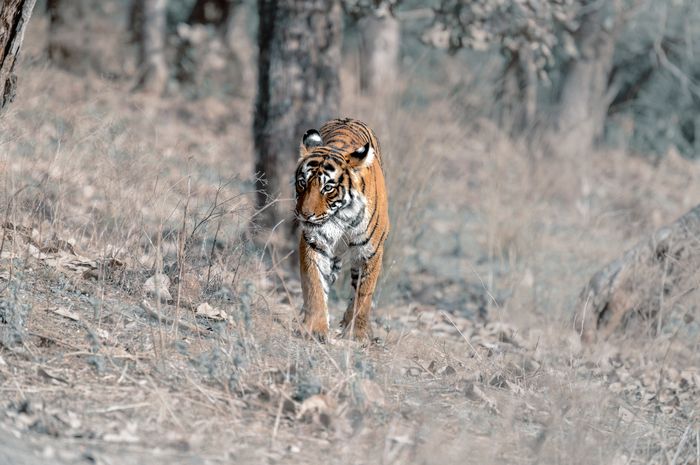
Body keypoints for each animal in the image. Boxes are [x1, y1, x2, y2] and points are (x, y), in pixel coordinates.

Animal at [294, 118, 390, 342]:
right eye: (302, 183)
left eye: (328, 188)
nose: (305, 214)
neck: (340, 217)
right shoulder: (314, 243)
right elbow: (314, 285)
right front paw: (315, 327)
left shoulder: (370, 251)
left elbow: (363, 294)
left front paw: (357, 333)